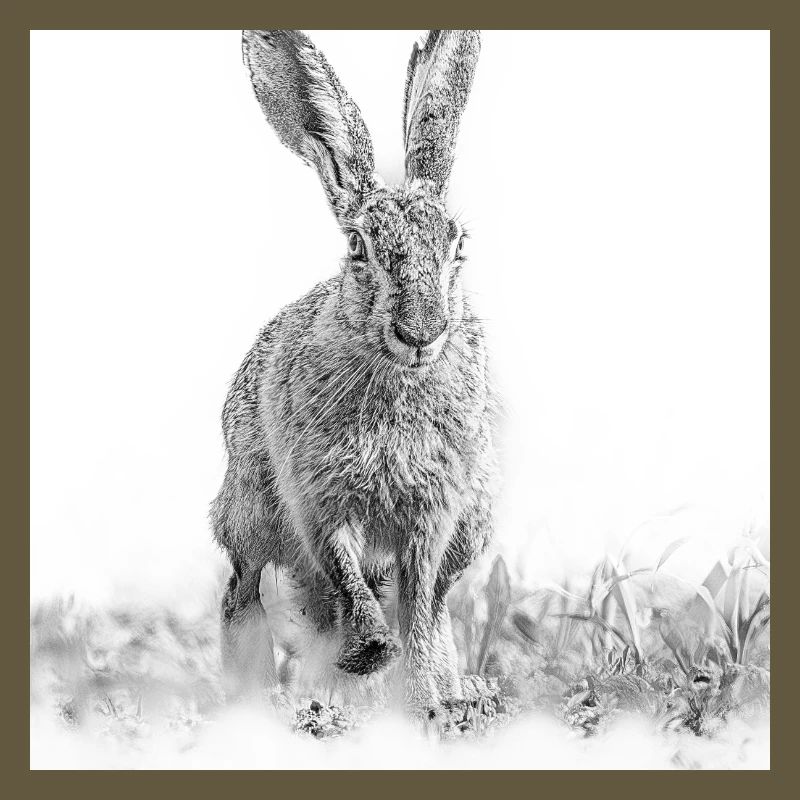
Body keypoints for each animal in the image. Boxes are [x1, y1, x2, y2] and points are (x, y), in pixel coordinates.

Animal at [211, 29, 497, 715]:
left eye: (458, 246)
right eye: (357, 247)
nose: (421, 333)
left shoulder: (433, 514)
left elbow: (418, 605)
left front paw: (425, 701)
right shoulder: (320, 500)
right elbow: (346, 579)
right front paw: (368, 655)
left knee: (435, 605)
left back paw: (451, 692)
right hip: (250, 510)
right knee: (244, 593)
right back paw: (264, 697)